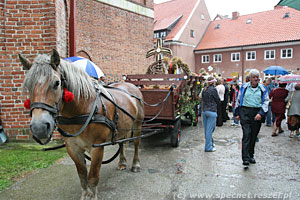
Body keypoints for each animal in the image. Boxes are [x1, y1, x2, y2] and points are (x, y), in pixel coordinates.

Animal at [18, 49, 144, 199]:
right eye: (28, 86)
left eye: (56, 83)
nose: (39, 127)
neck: (82, 110)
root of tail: (130, 85)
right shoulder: (73, 147)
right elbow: (82, 175)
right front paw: (85, 194)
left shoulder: (97, 147)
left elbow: (93, 176)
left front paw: (92, 195)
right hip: (122, 128)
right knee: (121, 143)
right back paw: (122, 162)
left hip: (137, 124)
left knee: (136, 143)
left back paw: (135, 164)